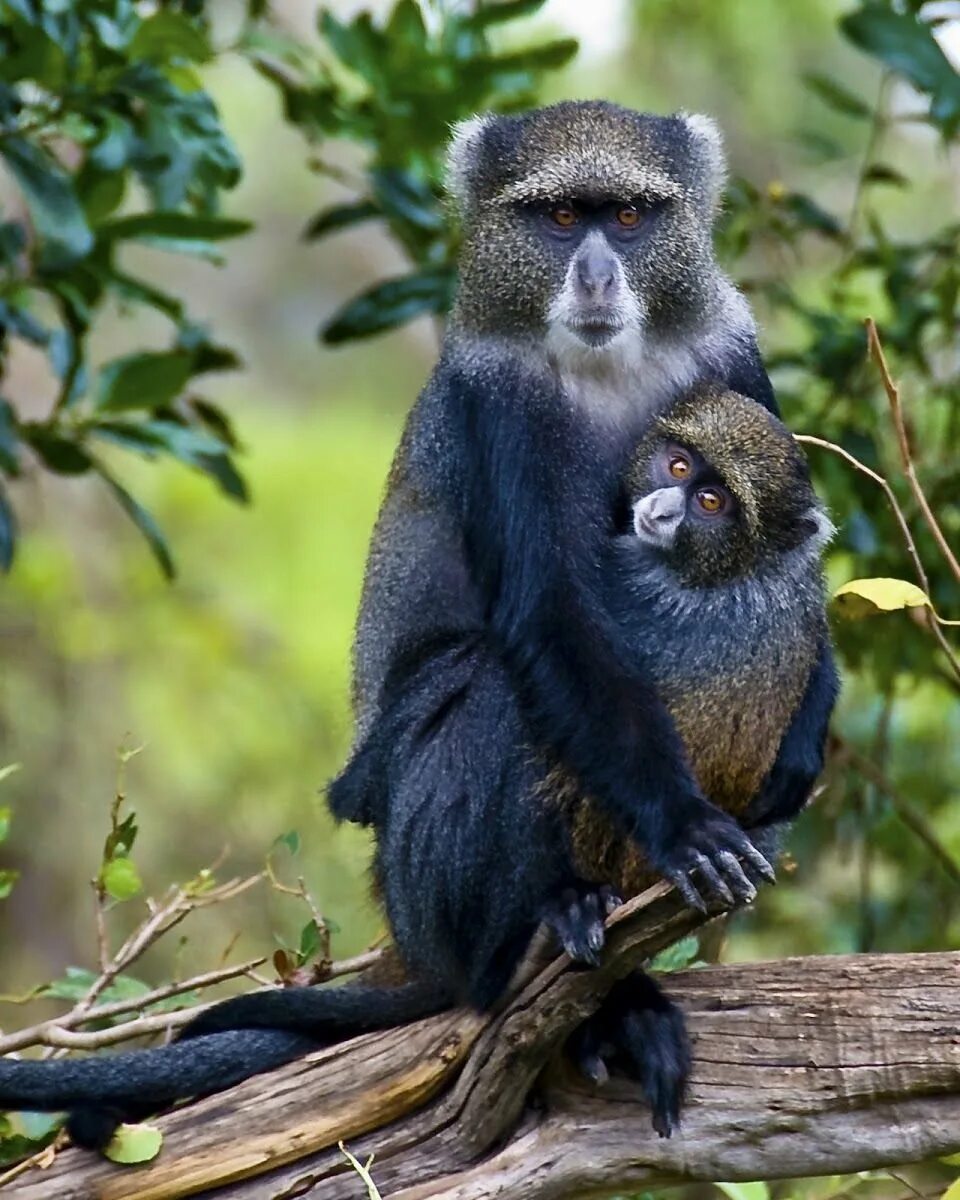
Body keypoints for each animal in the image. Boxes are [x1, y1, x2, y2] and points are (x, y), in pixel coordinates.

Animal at [0, 103, 830, 1142]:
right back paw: (558, 936)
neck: (607, 367)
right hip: (412, 858)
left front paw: (804, 745)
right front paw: (683, 826)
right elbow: (548, 617)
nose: (598, 274)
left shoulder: (730, 364)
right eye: (561, 218)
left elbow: (798, 563)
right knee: (489, 682)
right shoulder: (498, 408)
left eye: (632, 217)